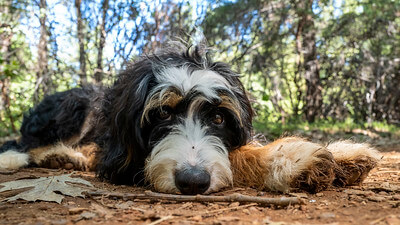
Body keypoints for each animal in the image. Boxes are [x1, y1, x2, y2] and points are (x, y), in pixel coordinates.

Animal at [0, 43, 382, 193]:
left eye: (219, 119)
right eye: (162, 112)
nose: (193, 181)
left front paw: (343, 155)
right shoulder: (125, 162)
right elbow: (238, 156)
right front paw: (294, 159)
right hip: (79, 105)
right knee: (24, 142)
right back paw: (40, 155)